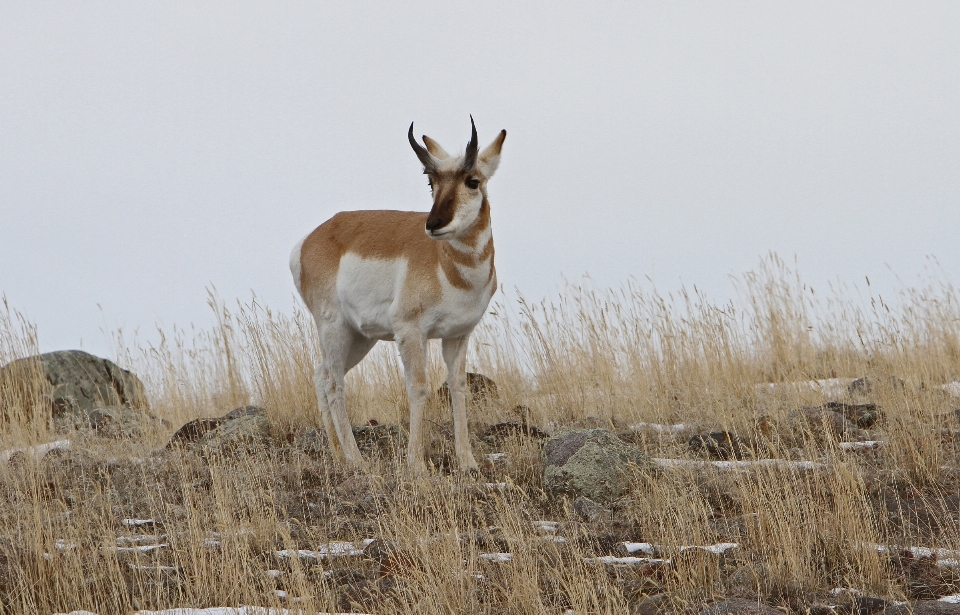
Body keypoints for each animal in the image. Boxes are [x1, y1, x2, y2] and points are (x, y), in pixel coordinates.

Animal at [288, 118, 506, 474]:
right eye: (431, 182)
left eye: (472, 181)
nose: (433, 224)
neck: (448, 264)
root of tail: (311, 239)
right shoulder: (411, 332)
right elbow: (418, 387)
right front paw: (416, 464)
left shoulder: (458, 335)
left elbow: (458, 387)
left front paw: (467, 461)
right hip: (335, 329)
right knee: (334, 383)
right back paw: (357, 460)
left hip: (360, 337)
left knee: (322, 375)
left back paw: (338, 456)